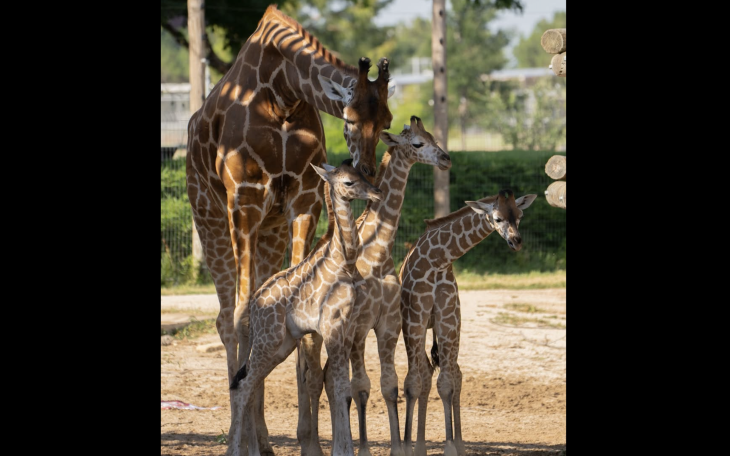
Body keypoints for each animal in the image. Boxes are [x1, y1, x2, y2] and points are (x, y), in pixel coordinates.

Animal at [228, 159, 383, 456]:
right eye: (348, 182)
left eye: (362, 174)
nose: (377, 193)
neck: (344, 263)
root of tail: (254, 306)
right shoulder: (331, 327)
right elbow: (339, 387)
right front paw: (343, 450)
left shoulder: (347, 329)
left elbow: (340, 387)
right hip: (269, 339)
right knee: (243, 387)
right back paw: (236, 451)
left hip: (283, 345)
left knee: (249, 385)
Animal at [317, 116, 451, 456]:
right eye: (417, 143)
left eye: (433, 136)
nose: (446, 159)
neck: (376, 254)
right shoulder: (357, 327)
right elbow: (359, 386)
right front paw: (361, 448)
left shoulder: (388, 324)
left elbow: (388, 386)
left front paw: (398, 447)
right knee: (324, 379)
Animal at [398, 190, 538, 456]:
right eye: (497, 218)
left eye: (520, 215)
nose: (516, 242)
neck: (438, 261)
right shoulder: (414, 319)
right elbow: (412, 382)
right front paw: (404, 446)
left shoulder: (448, 321)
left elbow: (447, 384)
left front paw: (451, 446)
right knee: (425, 373)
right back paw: (418, 446)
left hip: (453, 326)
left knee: (453, 374)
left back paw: (454, 445)